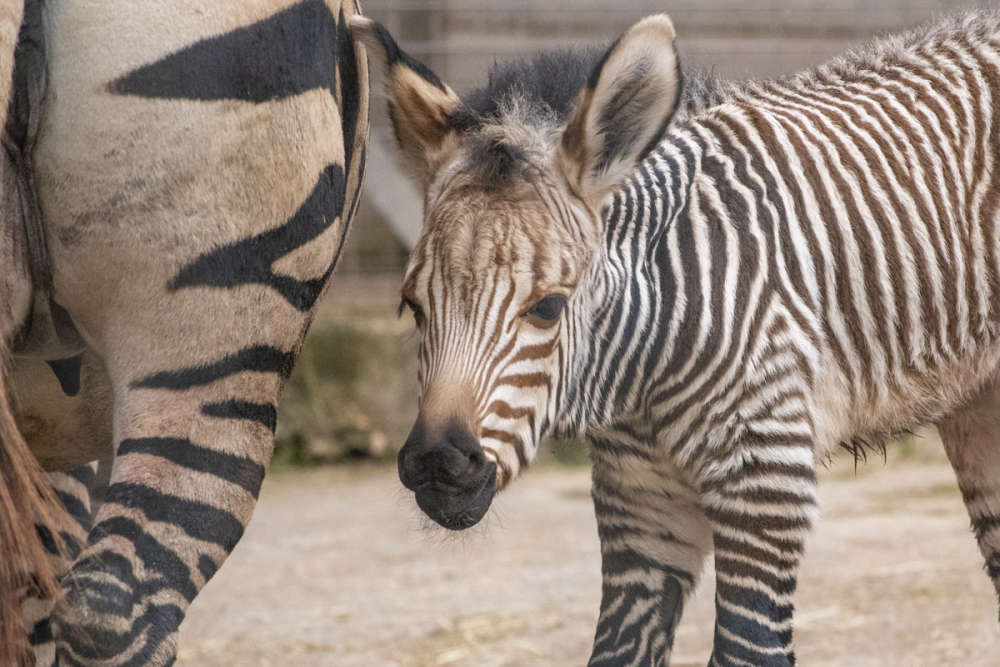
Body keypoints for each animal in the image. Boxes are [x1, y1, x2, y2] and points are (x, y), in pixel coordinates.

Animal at [358, 10, 1000, 667]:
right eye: (412, 308)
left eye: (548, 308)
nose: (438, 464)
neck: (641, 370)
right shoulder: (643, 507)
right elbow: (614, 651)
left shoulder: (765, 488)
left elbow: (747, 649)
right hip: (978, 406)